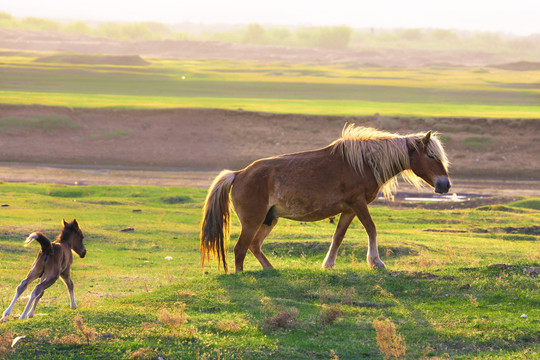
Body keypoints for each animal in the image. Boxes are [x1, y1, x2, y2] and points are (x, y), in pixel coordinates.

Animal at [200, 124, 450, 272]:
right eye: (430, 156)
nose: (445, 185)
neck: (363, 164)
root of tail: (239, 173)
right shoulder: (358, 203)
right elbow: (371, 228)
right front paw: (376, 261)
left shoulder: (349, 209)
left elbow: (338, 236)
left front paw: (328, 264)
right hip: (253, 222)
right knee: (240, 249)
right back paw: (241, 275)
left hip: (269, 220)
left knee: (253, 246)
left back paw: (270, 270)